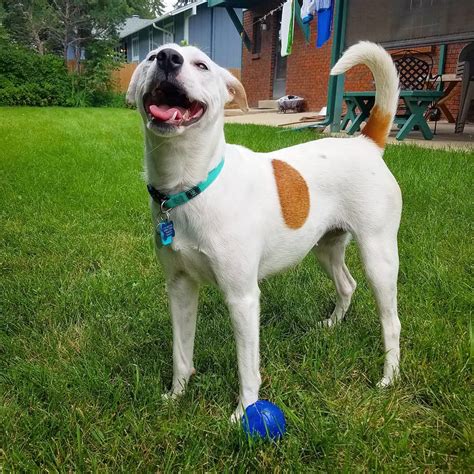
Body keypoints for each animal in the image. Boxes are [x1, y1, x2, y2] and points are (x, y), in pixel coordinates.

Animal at [128, 39, 402, 418]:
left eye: (202, 65)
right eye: (152, 57)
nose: (169, 58)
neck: (191, 186)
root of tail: (367, 143)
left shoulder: (242, 297)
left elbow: (247, 365)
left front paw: (244, 412)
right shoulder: (180, 287)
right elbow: (181, 352)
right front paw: (177, 393)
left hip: (379, 255)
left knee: (392, 322)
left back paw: (389, 377)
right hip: (326, 246)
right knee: (347, 285)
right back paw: (331, 326)